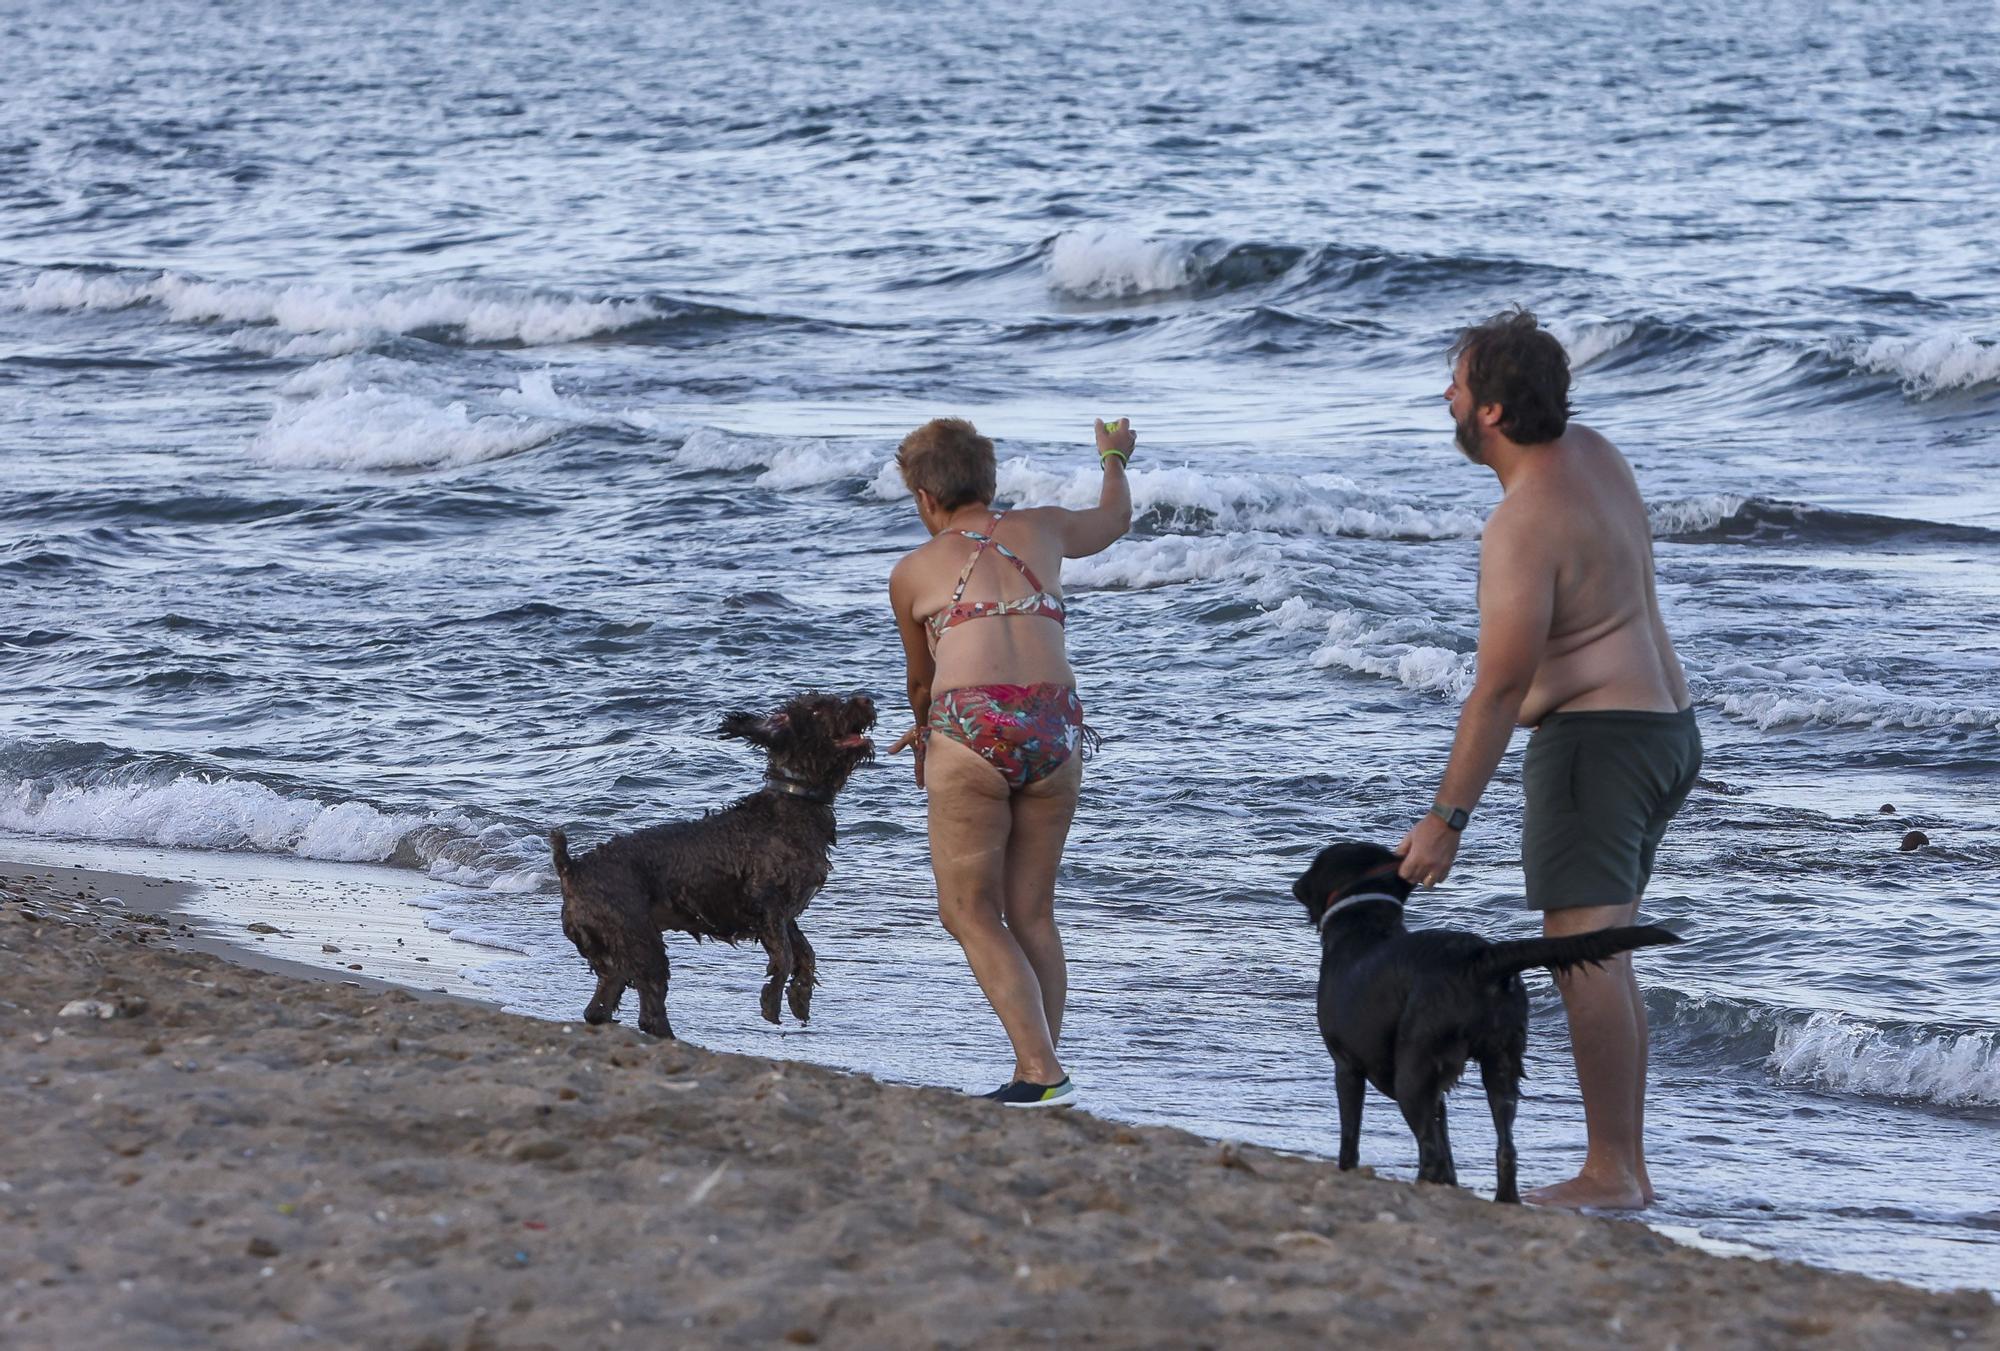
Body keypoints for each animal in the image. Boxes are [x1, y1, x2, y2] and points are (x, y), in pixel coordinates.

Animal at [548, 691, 876, 1039]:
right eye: (817, 708)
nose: (866, 700)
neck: (795, 801)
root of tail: (571, 869)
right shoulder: (767, 905)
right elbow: (785, 956)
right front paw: (771, 1002)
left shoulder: (787, 915)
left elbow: (806, 953)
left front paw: (800, 996)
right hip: (640, 940)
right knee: (648, 1009)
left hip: (617, 950)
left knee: (599, 1006)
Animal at [1288, 843, 1680, 1207]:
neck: (1362, 918)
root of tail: (1480, 959)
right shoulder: (1438, 1089)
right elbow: (1445, 1136)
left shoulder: (1346, 1065)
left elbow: (1351, 1135)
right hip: (1502, 1063)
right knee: (1504, 1148)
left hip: (1412, 1074)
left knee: (1430, 1150)